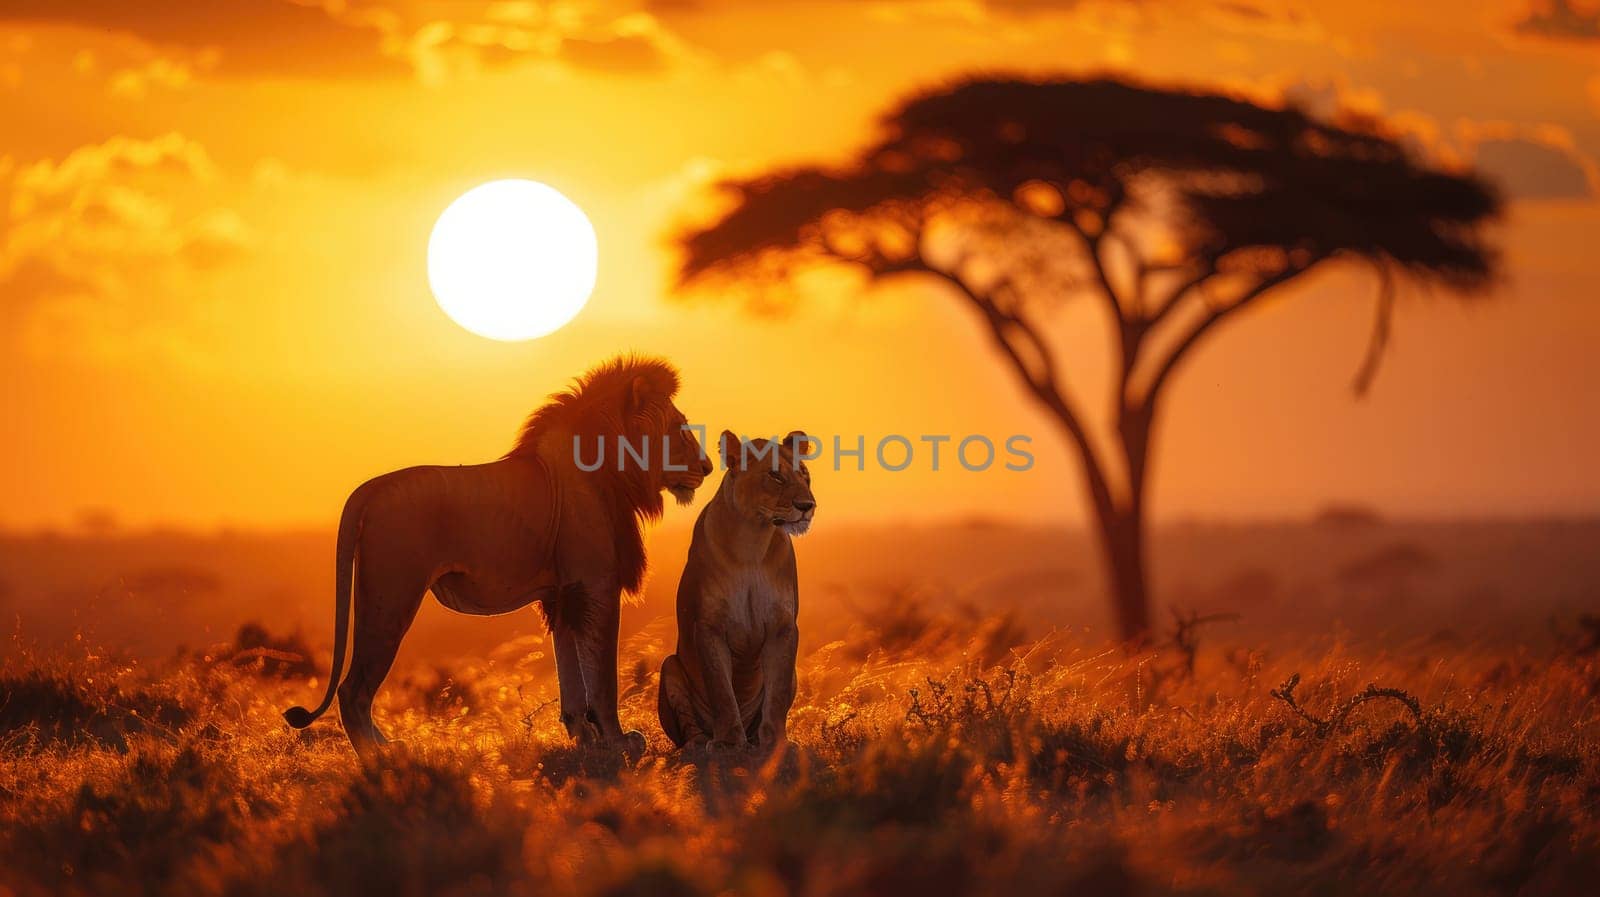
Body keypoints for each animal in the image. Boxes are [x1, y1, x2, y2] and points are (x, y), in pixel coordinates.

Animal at [284, 353, 710, 757]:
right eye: (678, 427)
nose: (706, 467)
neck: (611, 471)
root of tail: (368, 490)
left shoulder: (562, 595)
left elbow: (571, 673)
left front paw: (584, 738)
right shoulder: (596, 585)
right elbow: (603, 677)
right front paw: (619, 740)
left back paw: (389, 747)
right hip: (392, 599)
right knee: (353, 689)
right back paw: (379, 758)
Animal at [659, 431, 819, 751]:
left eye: (804, 474)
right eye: (775, 475)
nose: (807, 505)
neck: (752, 541)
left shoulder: (783, 627)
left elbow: (777, 694)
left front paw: (776, 742)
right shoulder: (709, 627)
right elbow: (721, 690)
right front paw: (729, 742)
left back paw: (754, 738)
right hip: (669, 665)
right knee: (689, 731)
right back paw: (700, 743)